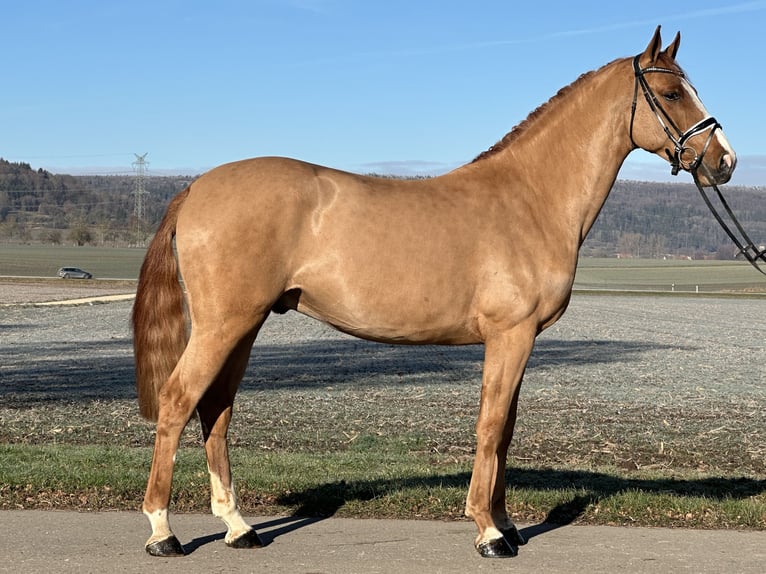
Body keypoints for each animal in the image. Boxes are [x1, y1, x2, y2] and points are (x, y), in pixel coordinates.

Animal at [132, 26, 735, 559]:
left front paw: (507, 523)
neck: (530, 197)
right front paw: (489, 533)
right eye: (672, 93)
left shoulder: (521, 342)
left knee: (216, 410)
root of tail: (195, 187)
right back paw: (163, 531)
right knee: (179, 400)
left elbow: (506, 430)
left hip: (246, 325)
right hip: (223, 324)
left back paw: (238, 527)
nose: (725, 161)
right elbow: (490, 426)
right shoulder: (510, 336)